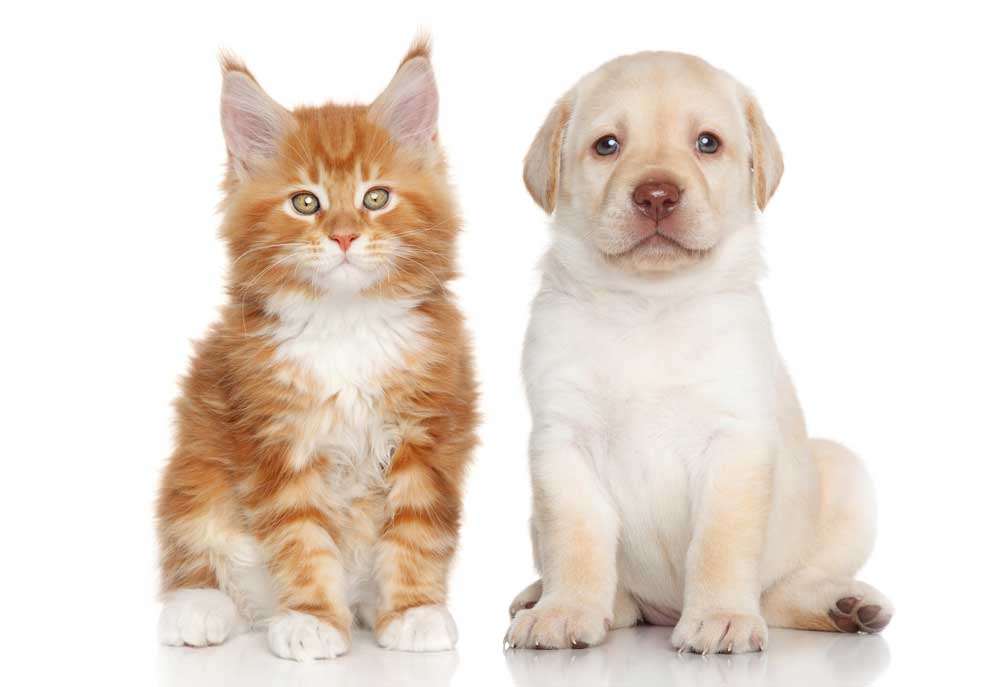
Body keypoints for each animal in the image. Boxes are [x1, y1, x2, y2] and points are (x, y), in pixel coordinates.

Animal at [158, 39, 478, 660]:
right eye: (305, 203)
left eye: (375, 197)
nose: (345, 235)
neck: (347, 324)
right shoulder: (276, 440)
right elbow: (301, 539)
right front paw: (312, 621)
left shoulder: (428, 433)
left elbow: (417, 530)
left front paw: (413, 612)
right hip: (196, 466)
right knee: (196, 547)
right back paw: (199, 610)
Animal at [508, 53, 892, 656]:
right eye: (607, 145)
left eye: (707, 143)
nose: (656, 196)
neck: (649, 304)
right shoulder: (561, 444)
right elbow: (574, 539)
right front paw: (564, 610)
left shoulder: (735, 443)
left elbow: (720, 544)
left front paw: (720, 617)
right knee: (619, 597)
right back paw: (546, 598)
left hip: (846, 476)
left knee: (782, 591)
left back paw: (845, 605)